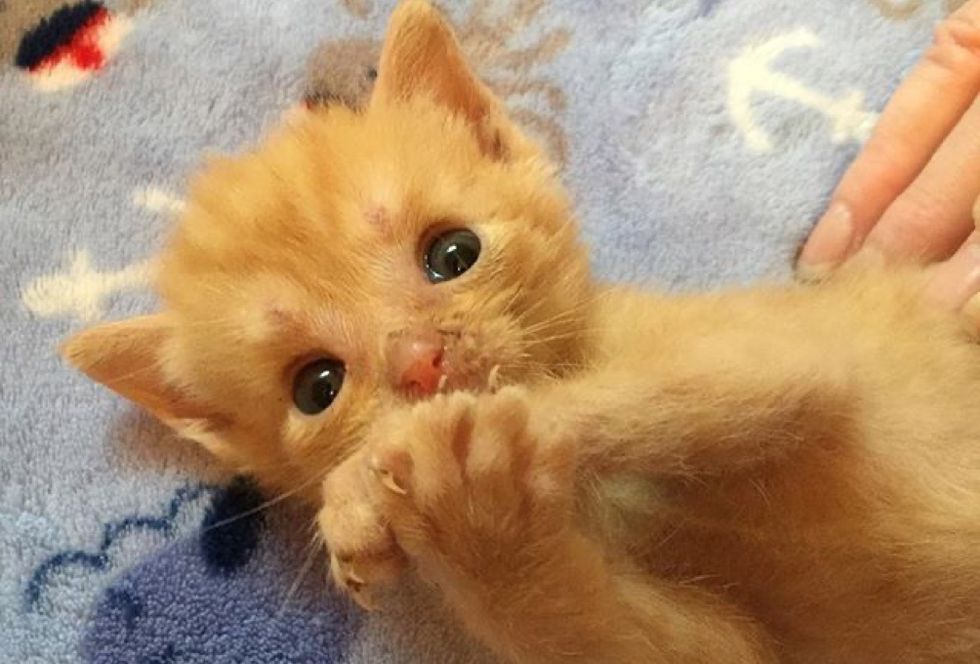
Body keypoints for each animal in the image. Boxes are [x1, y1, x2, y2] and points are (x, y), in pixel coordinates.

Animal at [63, 2, 980, 660]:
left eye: (453, 254)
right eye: (316, 386)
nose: (421, 363)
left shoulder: (787, 349)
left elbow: (680, 388)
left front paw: (413, 486)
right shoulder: (730, 648)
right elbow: (600, 630)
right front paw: (481, 527)